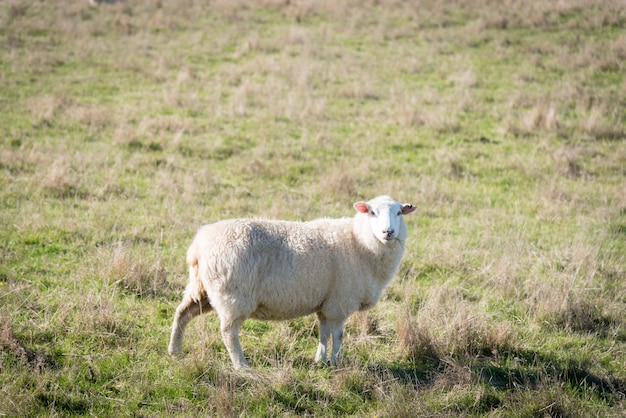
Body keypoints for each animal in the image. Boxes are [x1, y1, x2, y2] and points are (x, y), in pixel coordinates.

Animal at [168, 196, 416, 370]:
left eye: (399, 213)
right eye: (372, 212)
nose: (388, 232)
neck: (358, 242)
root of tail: (199, 245)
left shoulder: (325, 303)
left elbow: (323, 333)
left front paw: (320, 360)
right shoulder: (339, 304)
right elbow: (338, 336)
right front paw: (335, 362)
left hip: (201, 288)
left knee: (182, 313)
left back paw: (174, 351)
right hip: (233, 295)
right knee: (228, 331)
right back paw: (241, 365)